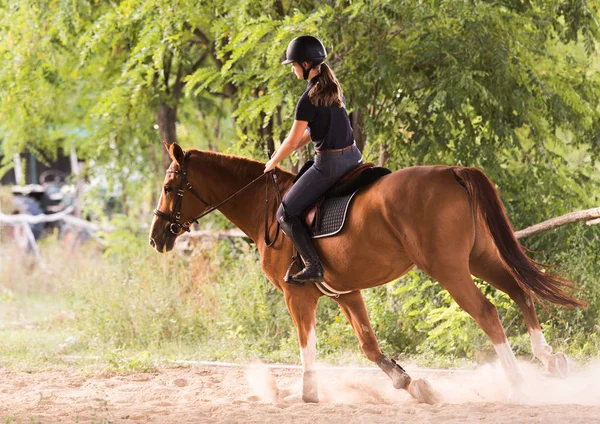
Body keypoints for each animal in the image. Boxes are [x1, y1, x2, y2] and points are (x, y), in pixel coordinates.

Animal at [150, 142, 584, 404]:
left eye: (171, 187)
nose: (157, 238)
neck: (266, 210)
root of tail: (451, 171)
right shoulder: (346, 292)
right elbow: (369, 345)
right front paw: (408, 382)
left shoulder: (298, 295)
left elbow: (307, 346)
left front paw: (307, 393)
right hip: (479, 258)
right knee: (520, 292)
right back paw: (549, 360)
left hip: (449, 269)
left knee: (488, 312)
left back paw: (518, 383)